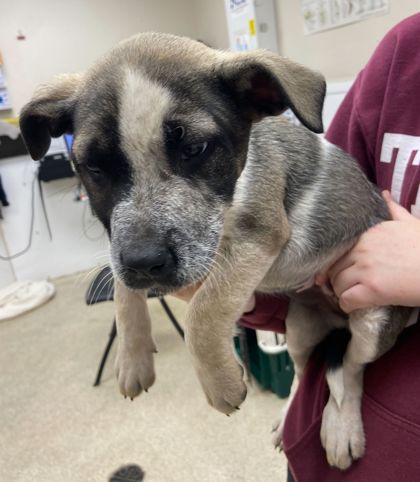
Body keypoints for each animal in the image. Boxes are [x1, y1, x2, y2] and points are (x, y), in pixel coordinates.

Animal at [19, 32, 410, 468]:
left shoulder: (259, 235)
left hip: (373, 321)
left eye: (195, 149)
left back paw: (341, 428)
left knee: (349, 371)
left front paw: (219, 382)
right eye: (94, 167)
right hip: (300, 329)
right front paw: (132, 357)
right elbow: (121, 284)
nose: (145, 264)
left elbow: (202, 314)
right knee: (305, 371)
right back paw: (286, 419)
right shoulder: (127, 244)